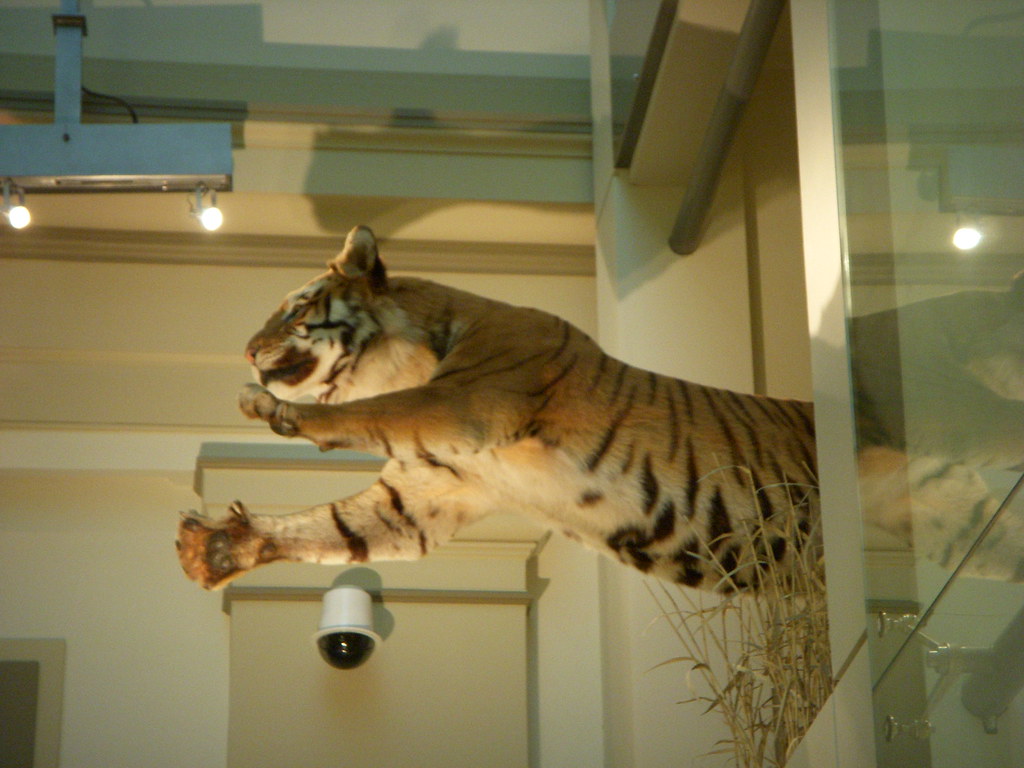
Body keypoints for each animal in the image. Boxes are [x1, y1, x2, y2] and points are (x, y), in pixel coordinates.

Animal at [177, 225, 820, 590]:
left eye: (295, 310)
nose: (247, 350)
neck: (402, 359)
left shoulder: (462, 401)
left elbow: (370, 412)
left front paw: (268, 407)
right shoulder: (422, 497)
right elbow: (334, 527)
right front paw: (220, 548)